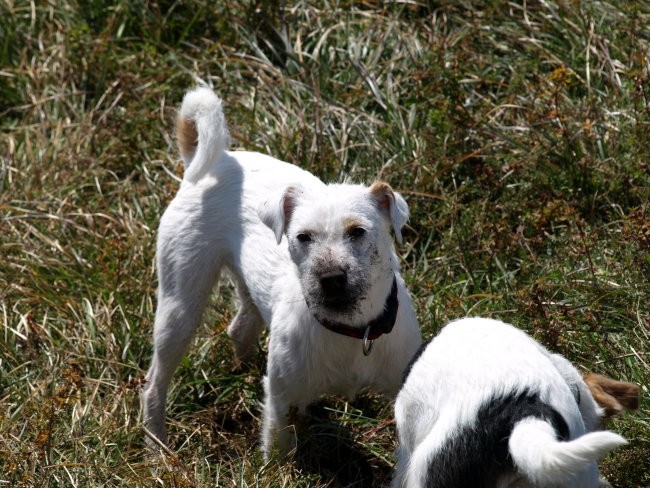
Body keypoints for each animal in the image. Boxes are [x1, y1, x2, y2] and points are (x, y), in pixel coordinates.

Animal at [141, 86, 420, 458]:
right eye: (302, 237)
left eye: (357, 232)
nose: (331, 279)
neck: (350, 330)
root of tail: (216, 162)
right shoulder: (282, 402)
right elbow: (278, 453)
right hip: (179, 306)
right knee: (155, 384)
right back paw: (157, 444)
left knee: (239, 329)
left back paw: (245, 370)